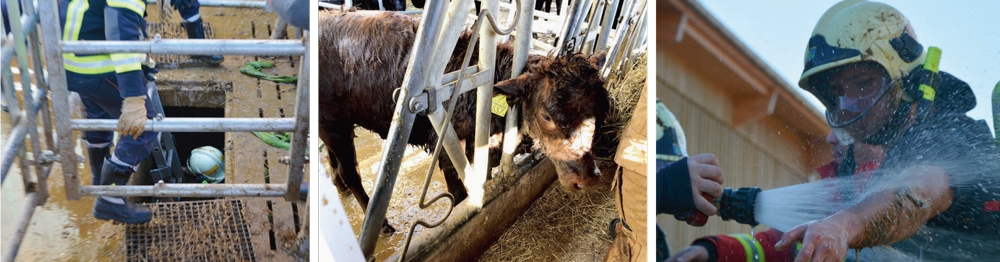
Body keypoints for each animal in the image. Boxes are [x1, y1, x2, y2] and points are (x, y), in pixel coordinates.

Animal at [320, 10, 608, 235]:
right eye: (546, 115)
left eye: (597, 110)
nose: (588, 179)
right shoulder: (445, 145)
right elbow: (459, 194)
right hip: (333, 124)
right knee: (350, 172)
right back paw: (382, 226)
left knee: (336, 165)